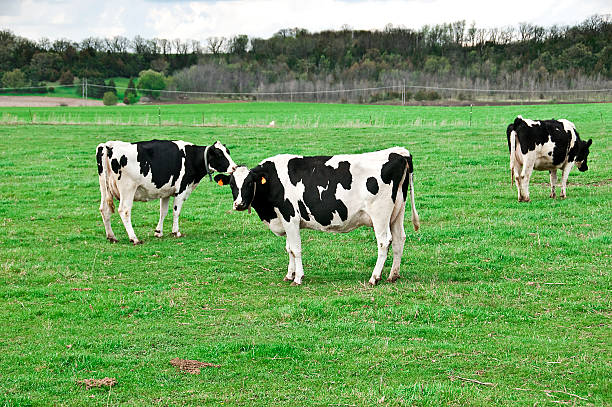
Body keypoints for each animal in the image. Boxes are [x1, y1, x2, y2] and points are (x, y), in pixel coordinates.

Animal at [96, 140, 237, 244]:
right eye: (219, 155)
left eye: (228, 152)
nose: (235, 167)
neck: (191, 157)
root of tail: (109, 144)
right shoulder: (181, 189)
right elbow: (176, 211)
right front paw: (176, 232)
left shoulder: (166, 191)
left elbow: (163, 211)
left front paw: (158, 232)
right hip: (128, 188)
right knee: (124, 210)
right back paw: (134, 238)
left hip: (104, 187)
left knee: (104, 209)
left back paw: (111, 237)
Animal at [213, 147, 418, 286]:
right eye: (232, 185)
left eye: (249, 183)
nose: (239, 204)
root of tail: (399, 152)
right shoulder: (285, 220)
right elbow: (289, 248)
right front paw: (289, 275)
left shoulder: (290, 217)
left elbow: (296, 249)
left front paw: (298, 278)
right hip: (397, 212)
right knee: (399, 239)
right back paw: (393, 275)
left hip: (380, 214)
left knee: (384, 242)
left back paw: (374, 277)